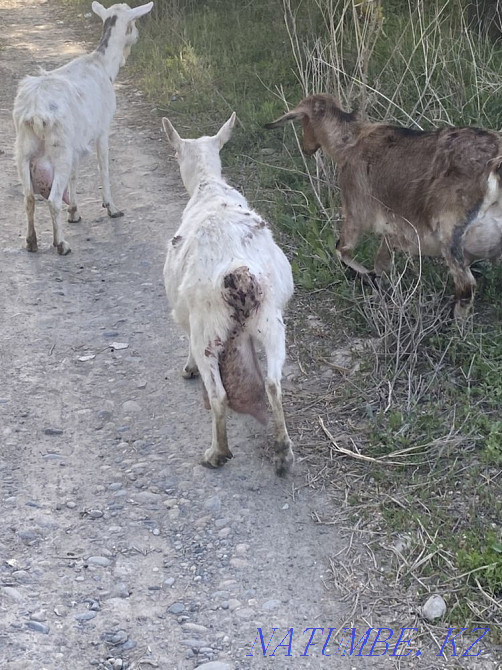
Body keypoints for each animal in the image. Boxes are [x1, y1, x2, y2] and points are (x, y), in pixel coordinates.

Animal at [12, 1, 153, 255]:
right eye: (134, 22)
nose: (137, 36)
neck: (103, 65)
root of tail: (35, 113)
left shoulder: (76, 142)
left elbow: (75, 175)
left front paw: (75, 213)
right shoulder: (103, 127)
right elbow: (103, 167)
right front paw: (112, 208)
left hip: (24, 149)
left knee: (28, 197)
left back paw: (31, 242)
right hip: (59, 149)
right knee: (53, 199)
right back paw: (61, 244)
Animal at [162, 114, 295, 475]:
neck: (209, 187)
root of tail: (237, 272)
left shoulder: (186, 319)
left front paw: (187, 368)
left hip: (208, 329)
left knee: (218, 394)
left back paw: (216, 453)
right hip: (271, 322)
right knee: (273, 382)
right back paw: (283, 451)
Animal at [265, 94, 502, 318]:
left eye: (303, 121)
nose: (306, 147)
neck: (351, 143)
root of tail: (495, 167)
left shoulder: (357, 210)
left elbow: (342, 249)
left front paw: (368, 278)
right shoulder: (394, 230)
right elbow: (382, 262)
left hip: (450, 232)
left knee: (466, 286)